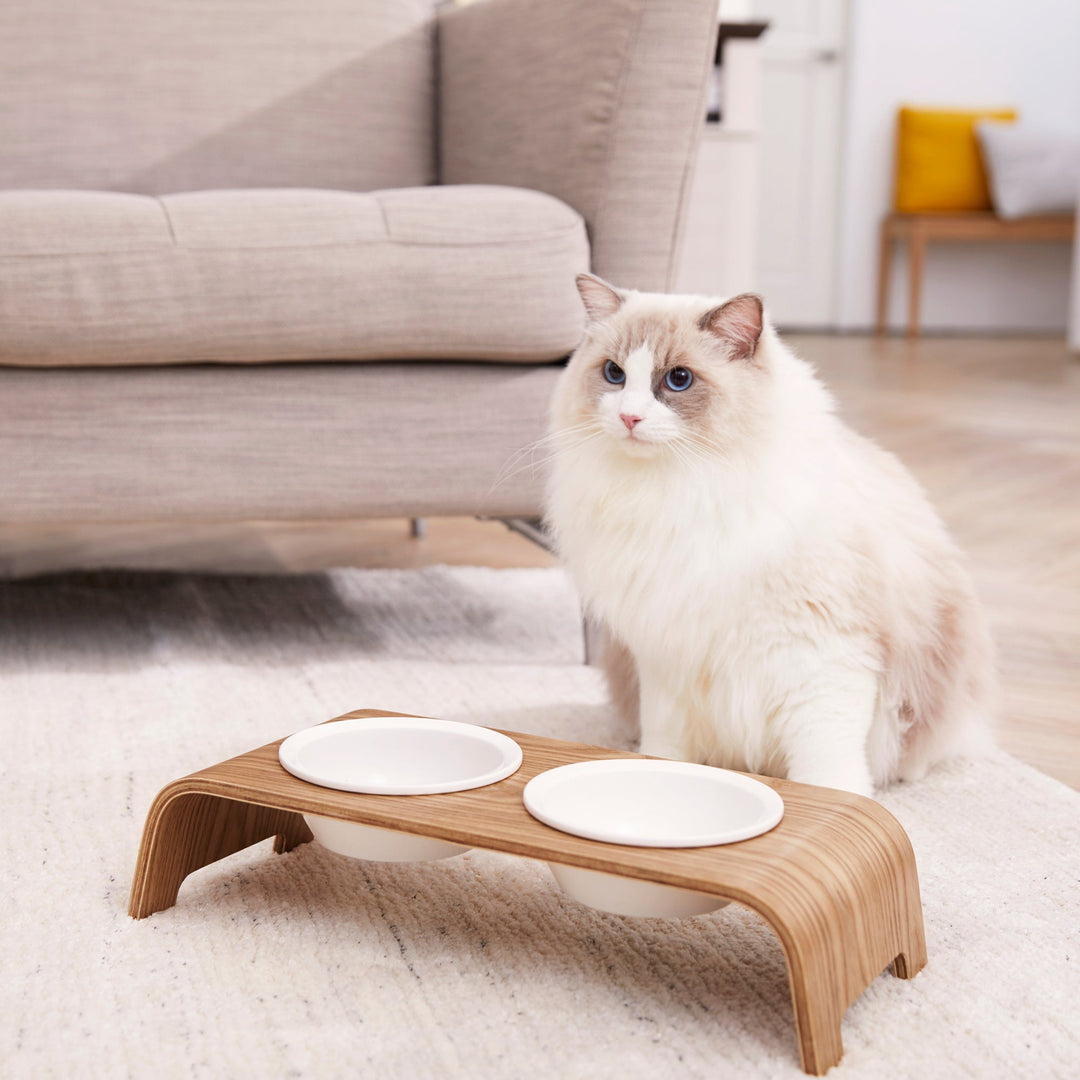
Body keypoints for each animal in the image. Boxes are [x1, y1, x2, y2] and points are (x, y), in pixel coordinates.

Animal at [544, 274, 997, 799]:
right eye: (614, 374)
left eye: (678, 379)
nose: (629, 418)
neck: (679, 492)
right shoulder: (664, 653)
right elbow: (664, 745)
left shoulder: (822, 657)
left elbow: (826, 768)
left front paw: (833, 807)